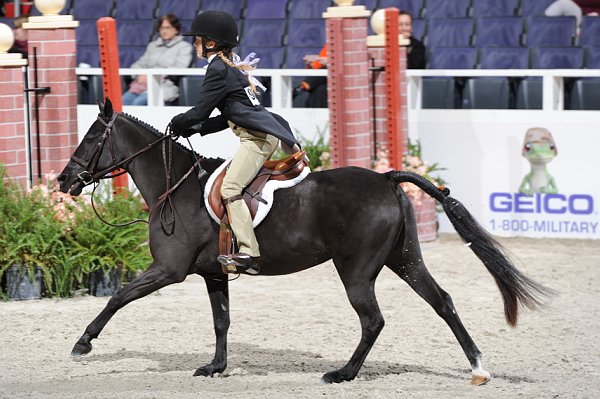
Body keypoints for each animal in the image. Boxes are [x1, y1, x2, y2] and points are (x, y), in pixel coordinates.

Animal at [58, 100, 552, 384]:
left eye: (91, 137)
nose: (64, 180)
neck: (174, 186)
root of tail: (387, 178)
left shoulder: (169, 270)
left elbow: (119, 297)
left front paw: (82, 344)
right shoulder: (214, 273)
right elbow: (221, 322)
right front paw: (215, 368)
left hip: (356, 269)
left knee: (373, 320)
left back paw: (344, 374)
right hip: (404, 259)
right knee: (443, 302)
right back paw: (477, 368)